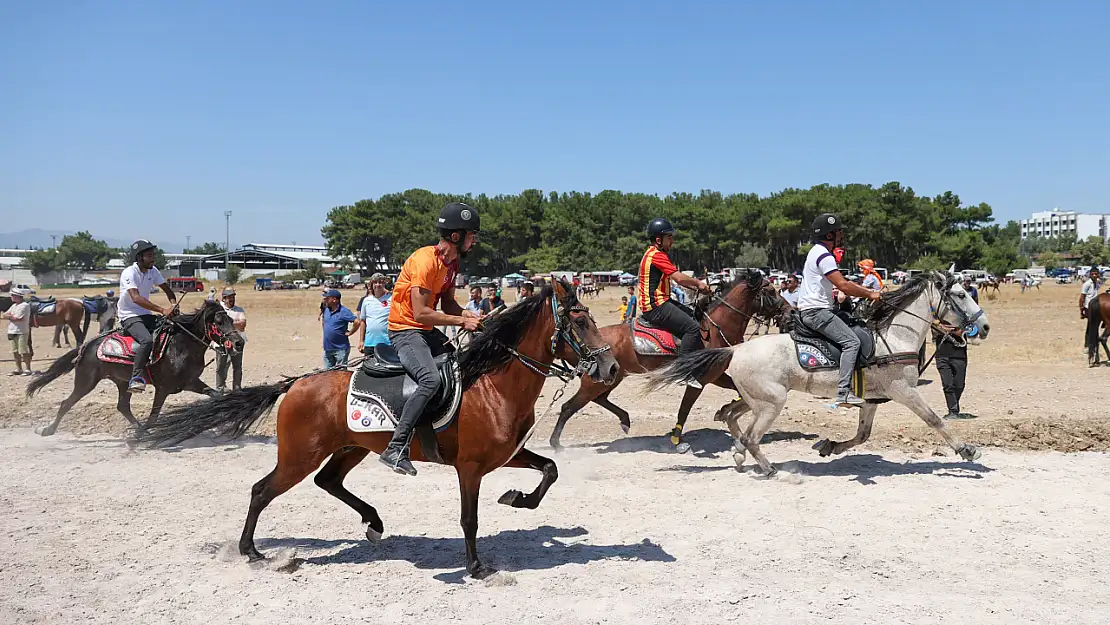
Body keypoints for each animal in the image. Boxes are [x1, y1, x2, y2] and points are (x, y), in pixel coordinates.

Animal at [26, 299, 243, 437]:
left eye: (232, 320)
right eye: (218, 322)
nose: (239, 342)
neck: (181, 345)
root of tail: (87, 345)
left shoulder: (190, 382)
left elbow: (216, 395)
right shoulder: (163, 388)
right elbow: (154, 416)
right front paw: (149, 432)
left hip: (123, 382)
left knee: (122, 406)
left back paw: (137, 429)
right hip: (86, 381)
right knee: (66, 403)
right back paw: (47, 430)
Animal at [135, 279, 621, 581]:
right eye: (580, 321)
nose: (612, 367)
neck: (493, 384)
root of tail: (296, 383)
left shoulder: (507, 454)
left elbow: (551, 469)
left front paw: (518, 498)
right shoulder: (469, 468)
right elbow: (469, 519)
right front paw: (477, 567)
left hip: (352, 447)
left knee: (328, 481)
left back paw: (373, 521)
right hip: (299, 455)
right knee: (262, 490)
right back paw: (251, 552)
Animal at [548, 271, 790, 452]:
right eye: (770, 291)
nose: (790, 311)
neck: (713, 329)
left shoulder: (717, 375)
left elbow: (738, 392)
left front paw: (724, 411)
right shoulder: (700, 379)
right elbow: (685, 407)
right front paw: (676, 440)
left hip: (612, 377)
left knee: (600, 399)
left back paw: (625, 420)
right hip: (595, 383)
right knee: (568, 407)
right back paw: (555, 443)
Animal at [643, 271, 990, 477]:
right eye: (960, 295)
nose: (984, 327)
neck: (893, 337)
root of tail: (736, 350)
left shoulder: (872, 400)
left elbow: (862, 435)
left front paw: (829, 447)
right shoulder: (904, 392)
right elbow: (935, 420)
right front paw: (966, 450)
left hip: (757, 397)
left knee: (729, 415)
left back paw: (741, 455)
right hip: (771, 402)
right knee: (752, 435)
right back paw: (768, 468)